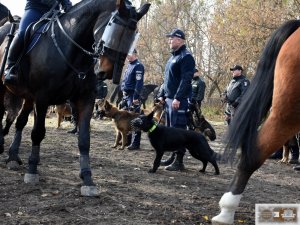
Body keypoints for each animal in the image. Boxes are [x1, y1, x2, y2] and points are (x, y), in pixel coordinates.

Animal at [0, 0, 150, 196]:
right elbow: (38, 133)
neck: (70, 49)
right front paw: (32, 170)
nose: (107, 72)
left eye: (131, 36)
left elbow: (84, 139)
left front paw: (87, 178)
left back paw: (13, 156)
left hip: (27, 97)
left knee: (20, 122)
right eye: (113, 29)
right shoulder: (42, 98)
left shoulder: (85, 100)